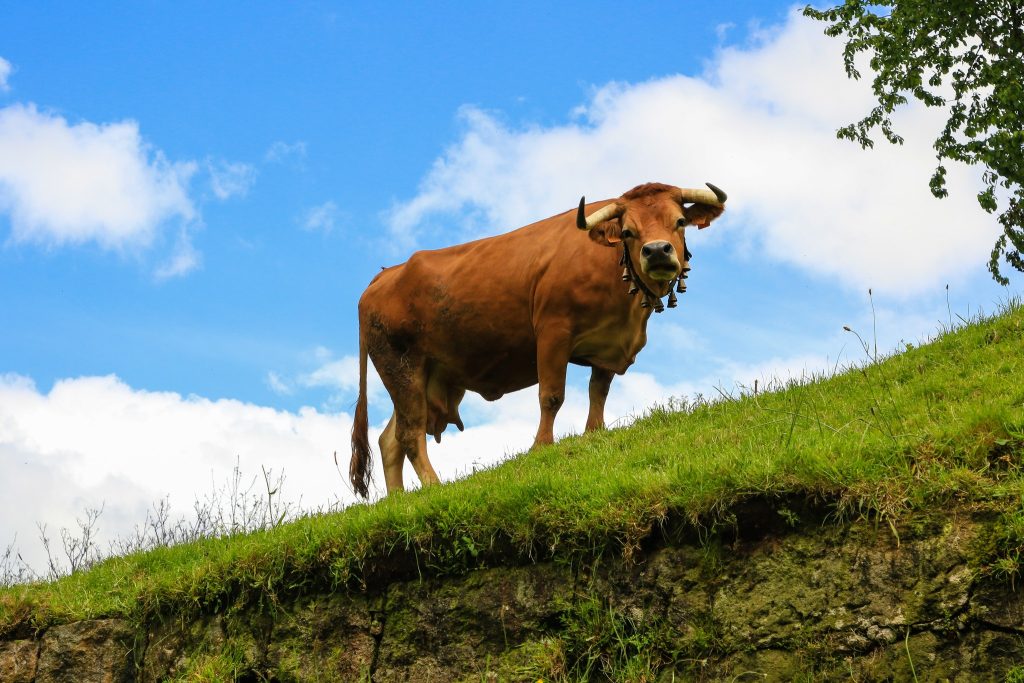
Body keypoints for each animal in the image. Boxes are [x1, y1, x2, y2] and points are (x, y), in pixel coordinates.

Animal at [352, 180, 729, 497]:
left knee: (390, 439)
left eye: (679, 221)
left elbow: (598, 392)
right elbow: (551, 396)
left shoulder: (608, 345)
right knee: (410, 433)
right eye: (627, 231)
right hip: (401, 365)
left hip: (427, 374)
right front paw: (541, 446)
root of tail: (385, 275)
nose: (657, 251)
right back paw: (432, 487)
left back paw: (399, 501)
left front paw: (594, 433)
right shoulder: (553, 331)